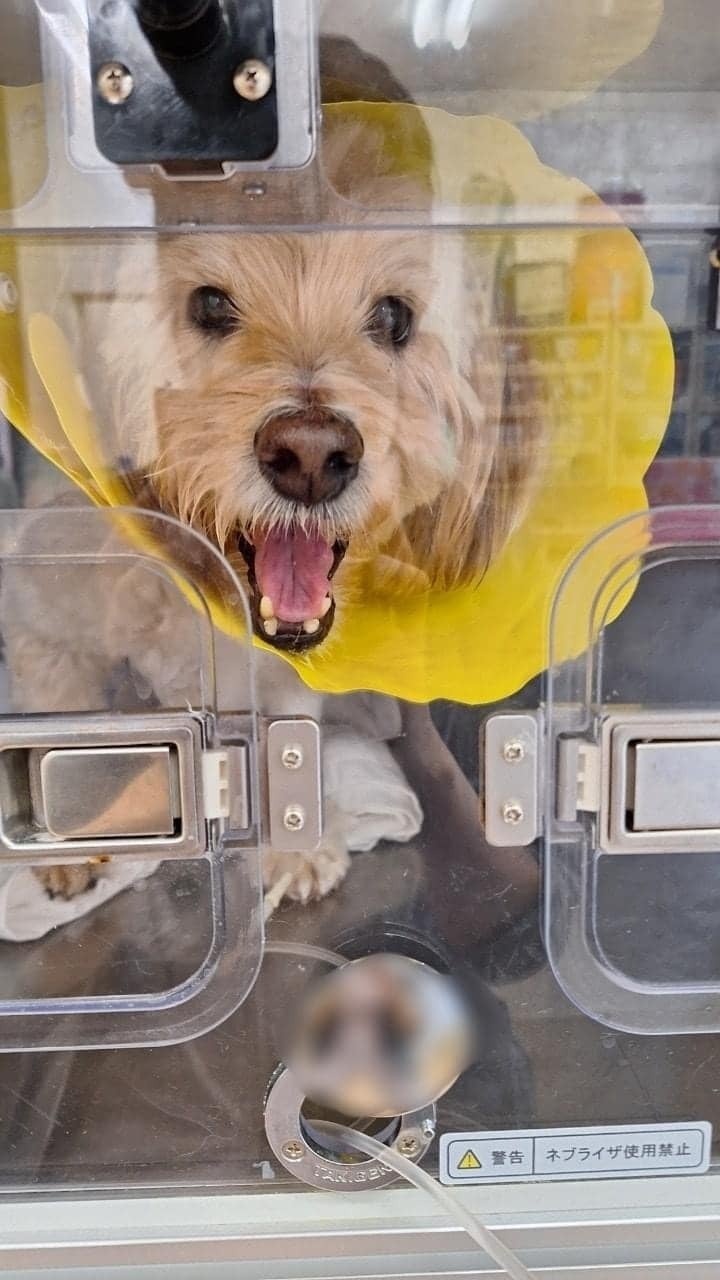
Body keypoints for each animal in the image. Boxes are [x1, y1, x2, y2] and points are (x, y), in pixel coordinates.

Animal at [2, 119, 543, 905]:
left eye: (393, 315)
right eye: (209, 304)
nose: (311, 456)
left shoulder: (283, 678)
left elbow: (286, 747)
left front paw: (295, 845)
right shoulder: (45, 624)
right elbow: (59, 730)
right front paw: (66, 843)